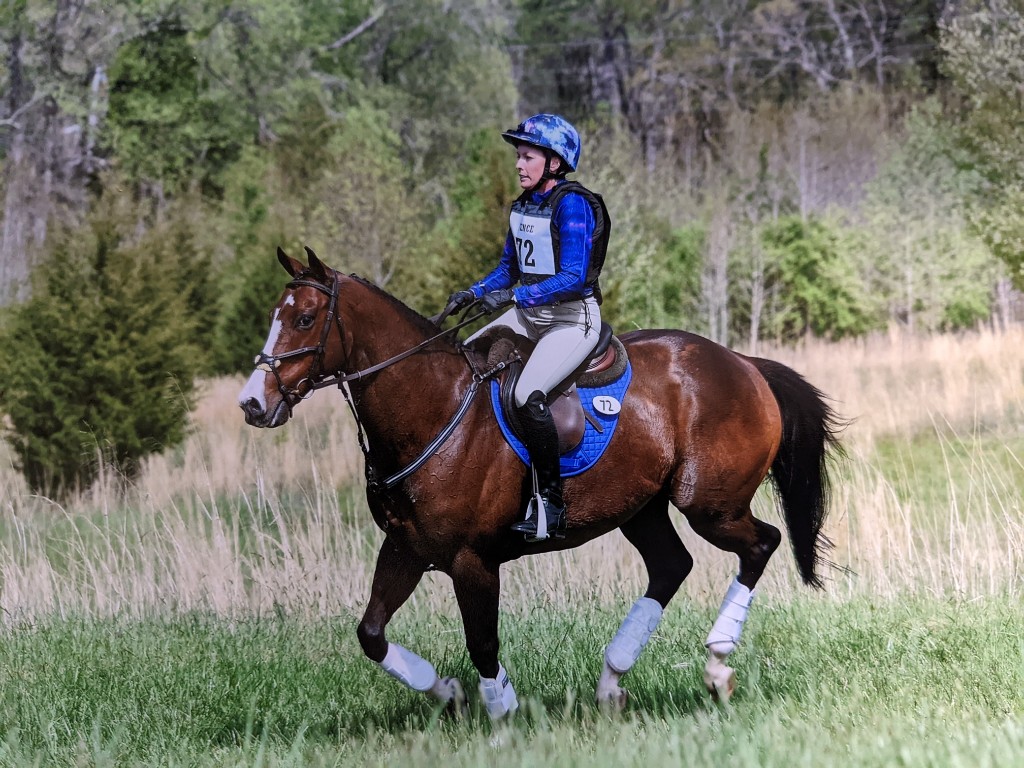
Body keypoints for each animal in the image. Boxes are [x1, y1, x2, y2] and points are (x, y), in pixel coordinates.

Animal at [238, 246, 844, 717]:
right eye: (275, 314)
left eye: (304, 319)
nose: (252, 403)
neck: (432, 410)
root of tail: (744, 363)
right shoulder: (407, 548)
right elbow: (371, 634)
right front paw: (448, 693)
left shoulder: (472, 559)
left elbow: (483, 643)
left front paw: (502, 713)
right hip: (641, 507)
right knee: (672, 566)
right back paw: (612, 681)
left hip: (710, 504)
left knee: (761, 544)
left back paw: (716, 664)